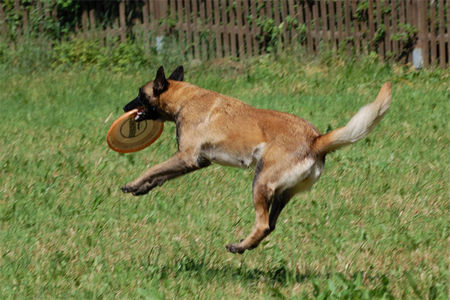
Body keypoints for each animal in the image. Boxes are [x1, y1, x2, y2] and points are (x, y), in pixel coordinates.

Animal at [121, 66, 392, 253]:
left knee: (263, 224)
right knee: (270, 225)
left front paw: (132, 184)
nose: (124, 107)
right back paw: (245, 245)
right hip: (281, 192)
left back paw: (238, 246)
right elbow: (160, 176)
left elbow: (153, 168)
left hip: (259, 182)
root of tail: (315, 140)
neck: (185, 99)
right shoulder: (195, 161)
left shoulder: (187, 157)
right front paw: (142, 188)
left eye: (139, 94)